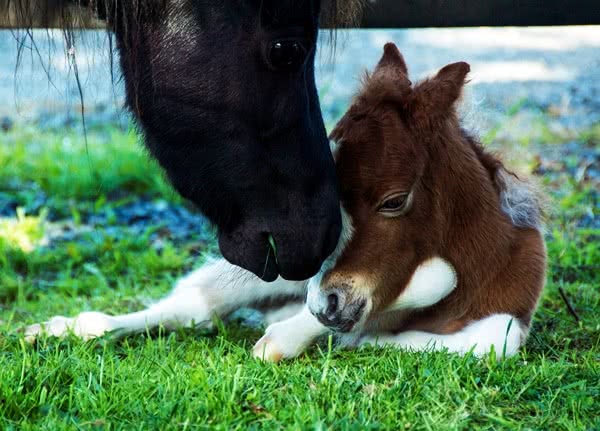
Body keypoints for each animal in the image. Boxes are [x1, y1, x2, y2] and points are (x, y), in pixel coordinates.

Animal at [25, 44, 548, 362]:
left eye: (394, 201)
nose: (327, 303)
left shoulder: (506, 316)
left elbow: (485, 338)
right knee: (195, 304)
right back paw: (55, 330)